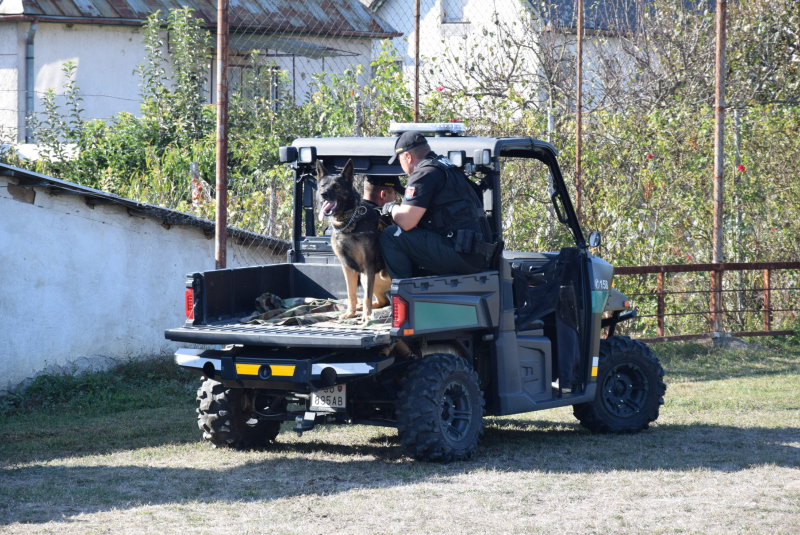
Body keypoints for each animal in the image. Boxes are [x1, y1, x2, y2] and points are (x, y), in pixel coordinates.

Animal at [318, 159, 394, 322]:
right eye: (323, 185)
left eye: (336, 186)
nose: (323, 194)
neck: (348, 221)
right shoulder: (348, 267)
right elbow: (351, 293)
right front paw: (350, 313)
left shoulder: (368, 265)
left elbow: (366, 297)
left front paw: (366, 316)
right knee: (383, 300)